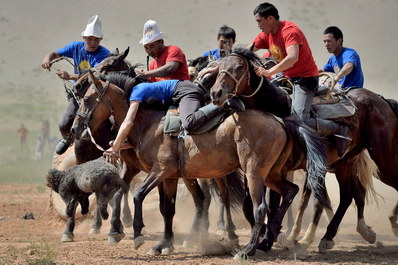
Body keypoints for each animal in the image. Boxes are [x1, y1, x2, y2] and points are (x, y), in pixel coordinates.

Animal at [70, 68, 330, 256]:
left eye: (86, 99)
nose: (74, 129)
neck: (149, 123)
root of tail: (279, 120)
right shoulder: (170, 177)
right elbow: (167, 209)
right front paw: (163, 244)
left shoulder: (160, 170)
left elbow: (138, 196)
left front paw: (138, 236)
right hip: (271, 173)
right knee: (290, 191)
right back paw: (267, 241)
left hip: (254, 173)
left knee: (260, 207)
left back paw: (248, 249)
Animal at [210, 47, 398, 250]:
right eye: (219, 67)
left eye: (239, 67)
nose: (216, 93)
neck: (277, 107)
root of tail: (381, 100)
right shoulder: (258, 170)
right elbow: (249, 204)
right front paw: (267, 235)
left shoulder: (278, 170)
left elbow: (274, 203)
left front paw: (270, 238)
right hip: (344, 162)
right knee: (349, 195)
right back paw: (330, 236)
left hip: (383, 160)